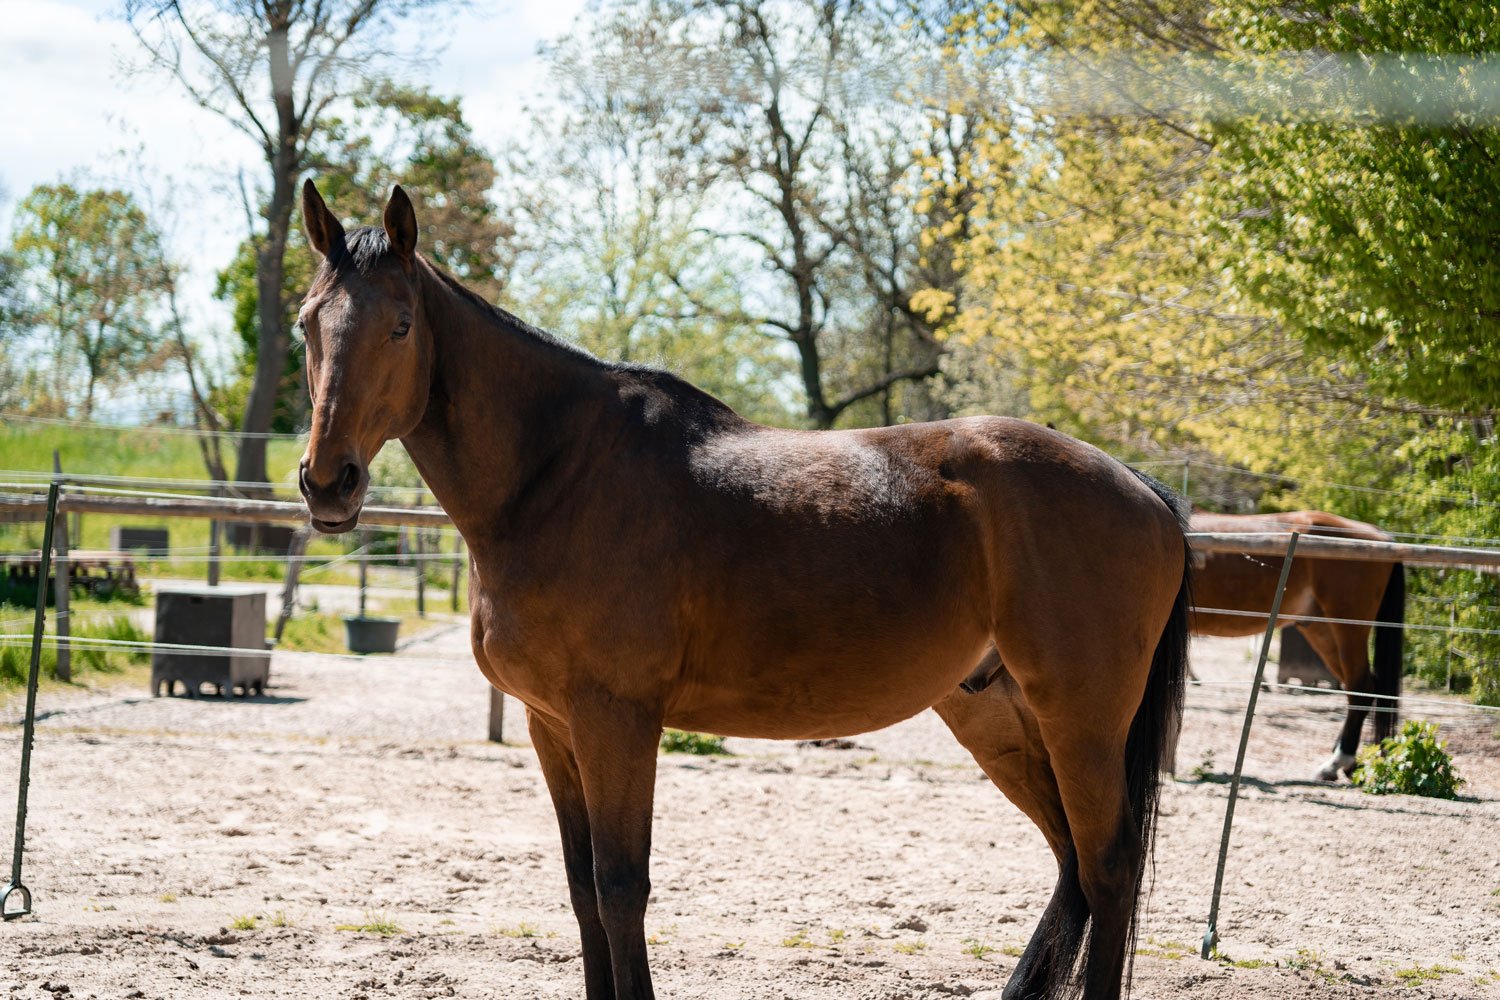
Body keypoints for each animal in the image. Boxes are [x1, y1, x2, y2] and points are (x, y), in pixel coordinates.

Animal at [292, 182, 1192, 1000]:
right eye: (308, 323)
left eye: (400, 325)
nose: (328, 483)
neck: (558, 474)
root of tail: (1144, 490)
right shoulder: (551, 724)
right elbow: (583, 890)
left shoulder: (617, 719)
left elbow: (621, 889)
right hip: (997, 715)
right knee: (1073, 864)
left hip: (1080, 722)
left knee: (1108, 867)